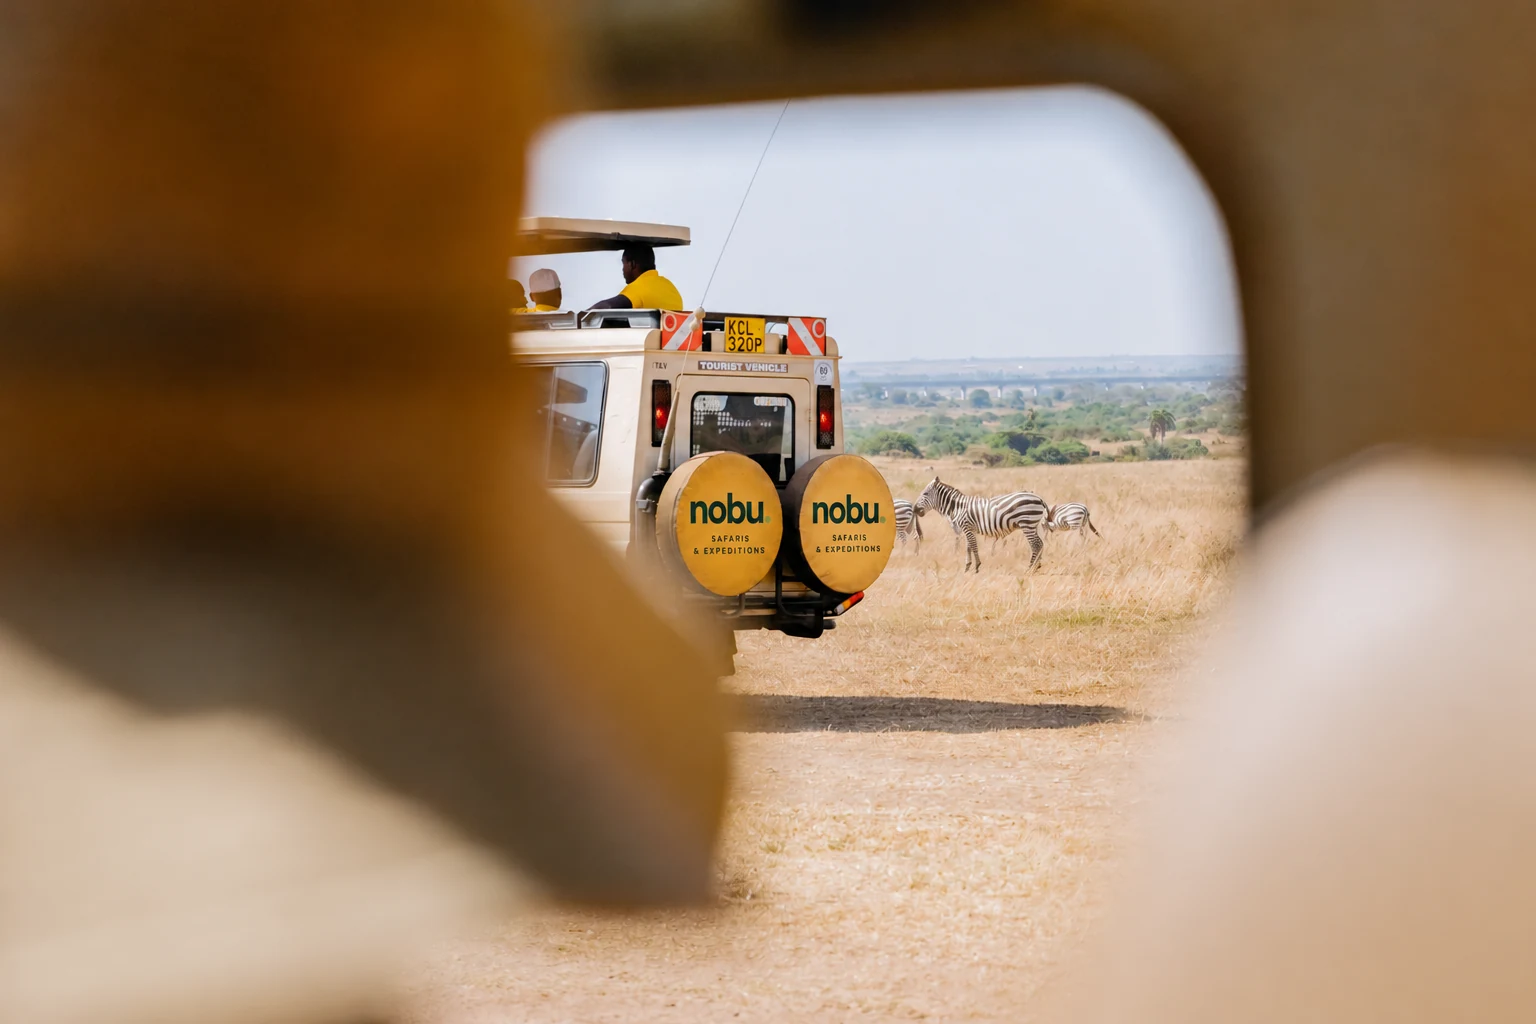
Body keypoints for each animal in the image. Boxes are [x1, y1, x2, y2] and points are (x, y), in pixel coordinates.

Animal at [913, 477, 1048, 573]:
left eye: (925, 494)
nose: (915, 509)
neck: (958, 507)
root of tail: (1039, 498)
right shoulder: (968, 529)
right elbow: (968, 547)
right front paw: (967, 567)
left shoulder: (967, 527)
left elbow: (973, 546)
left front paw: (977, 566)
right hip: (1033, 525)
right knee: (1040, 543)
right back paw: (1036, 567)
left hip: (1027, 523)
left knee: (1035, 545)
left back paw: (1029, 568)